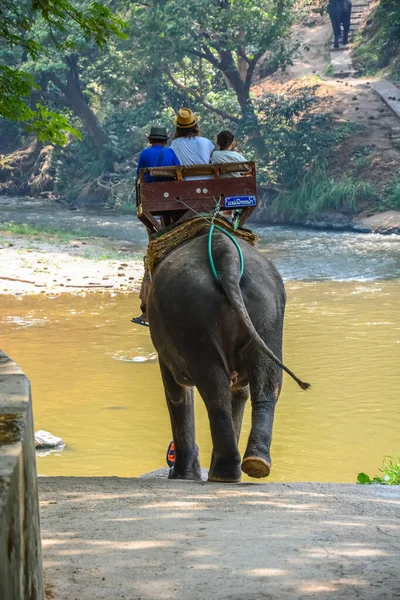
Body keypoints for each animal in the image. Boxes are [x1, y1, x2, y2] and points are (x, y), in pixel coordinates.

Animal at [148, 230, 310, 482]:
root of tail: (227, 257)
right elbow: (241, 391)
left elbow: (176, 394)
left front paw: (181, 476)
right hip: (267, 312)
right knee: (267, 384)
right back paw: (255, 464)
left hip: (193, 319)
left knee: (214, 392)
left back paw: (224, 474)